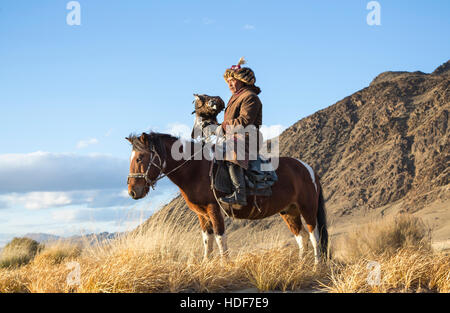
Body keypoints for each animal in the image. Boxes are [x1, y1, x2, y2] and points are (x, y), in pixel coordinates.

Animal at [125, 130, 328, 262]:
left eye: (140, 158)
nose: (133, 191)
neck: (196, 170)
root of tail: (307, 168)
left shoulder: (214, 209)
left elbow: (220, 239)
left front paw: (224, 266)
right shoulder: (201, 214)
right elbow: (207, 241)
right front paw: (206, 265)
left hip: (308, 208)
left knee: (314, 236)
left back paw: (316, 266)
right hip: (289, 211)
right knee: (301, 237)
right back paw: (301, 266)